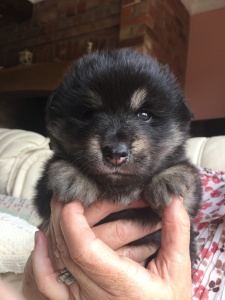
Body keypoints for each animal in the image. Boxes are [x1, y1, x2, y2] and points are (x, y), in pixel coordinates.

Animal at [34, 48, 201, 262]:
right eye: (88, 114)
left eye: (144, 115)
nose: (115, 152)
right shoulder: (44, 204)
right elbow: (51, 172)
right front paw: (72, 176)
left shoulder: (187, 209)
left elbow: (189, 181)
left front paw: (169, 178)